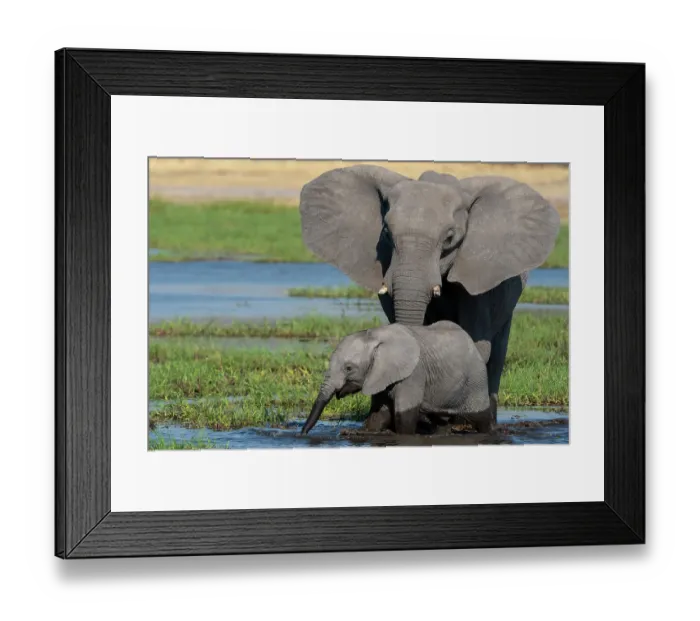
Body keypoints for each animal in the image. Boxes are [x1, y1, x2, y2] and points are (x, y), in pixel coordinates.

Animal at [300, 321, 491, 436]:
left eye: (349, 368)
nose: (301, 434)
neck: (373, 335)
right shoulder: (379, 374)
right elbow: (379, 413)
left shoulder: (413, 374)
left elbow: (404, 417)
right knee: (441, 420)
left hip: (477, 379)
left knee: (481, 418)